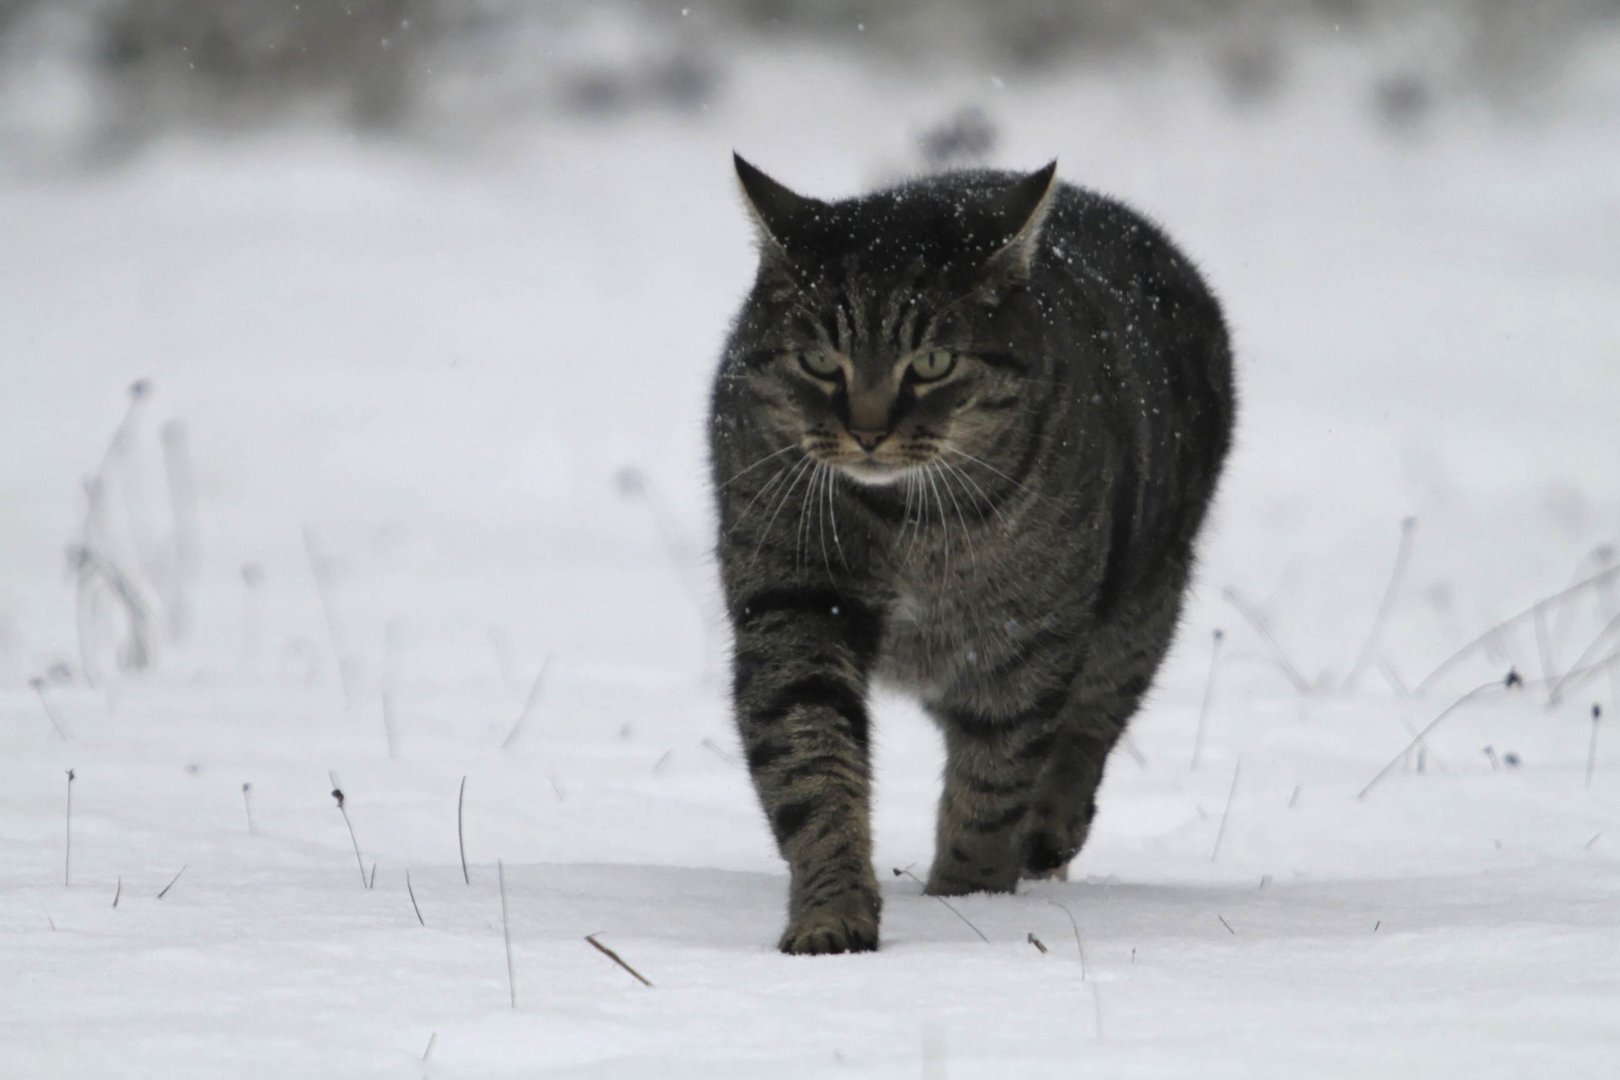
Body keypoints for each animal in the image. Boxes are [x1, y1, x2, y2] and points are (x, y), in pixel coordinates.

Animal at [706, 153, 1224, 952]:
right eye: (820, 359)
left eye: (935, 362)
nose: (867, 431)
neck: (907, 522)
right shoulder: (794, 601)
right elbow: (810, 761)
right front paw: (833, 912)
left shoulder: (1025, 637)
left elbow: (994, 779)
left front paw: (968, 903)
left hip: (1145, 599)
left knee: (1087, 727)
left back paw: (1051, 828)